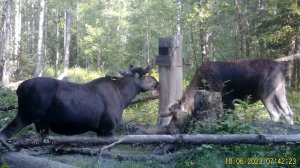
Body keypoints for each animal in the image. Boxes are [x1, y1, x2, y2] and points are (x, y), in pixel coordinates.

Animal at [0, 65, 158, 140]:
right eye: (145, 76)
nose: (156, 82)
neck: (124, 97)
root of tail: (18, 89)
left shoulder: (100, 131)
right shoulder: (108, 128)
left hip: (41, 124)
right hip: (25, 116)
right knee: (5, 134)